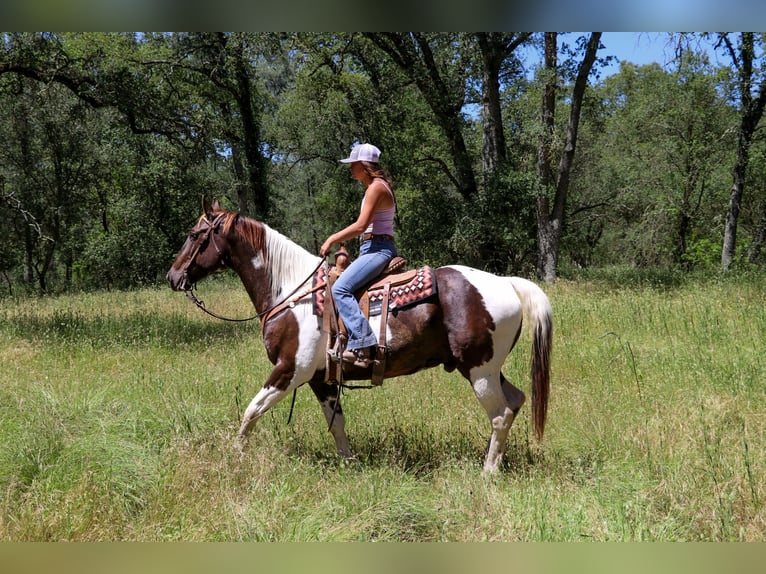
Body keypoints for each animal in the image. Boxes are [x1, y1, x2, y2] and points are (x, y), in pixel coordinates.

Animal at [166, 199, 552, 473]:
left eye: (195, 234)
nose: (172, 276)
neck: (290, 292)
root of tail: (508, 283)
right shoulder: (320, 379)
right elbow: (336, 423)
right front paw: (349, 464)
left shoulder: (289, 370)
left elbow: (251, 411)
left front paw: (235, 457)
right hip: (487, 368)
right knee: (515, 401)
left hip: (478, 369)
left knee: (500, 413)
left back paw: (488, 472)